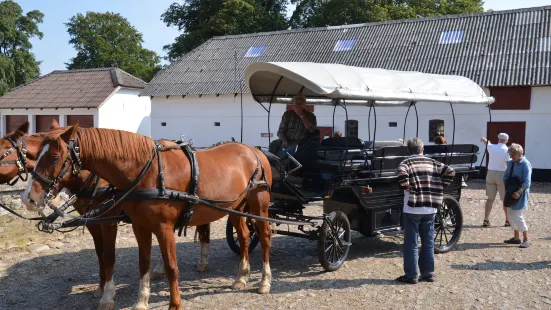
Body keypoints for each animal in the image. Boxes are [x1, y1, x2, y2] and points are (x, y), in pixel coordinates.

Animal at [1, 121, 211, 310]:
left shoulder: (109, 221)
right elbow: (100, 253)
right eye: (38, 157)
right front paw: (101, 287)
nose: (28, 198)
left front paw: (108, 296)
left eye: (54, 158)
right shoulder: (93, 221)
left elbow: (109, 255)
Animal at [23, 124, 274, 310]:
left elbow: (170, 266)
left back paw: (264, 281)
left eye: (55, 157)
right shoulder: (138, 226)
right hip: (236, 209)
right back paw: (241, 277)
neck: (147, 171)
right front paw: (140, 301)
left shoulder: (155, 226)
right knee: (244, 237)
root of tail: (254, 150)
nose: (28, 198)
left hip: (259, 205)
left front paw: (174, 304)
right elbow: (139, 262)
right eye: (35, 156)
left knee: (264, 238)